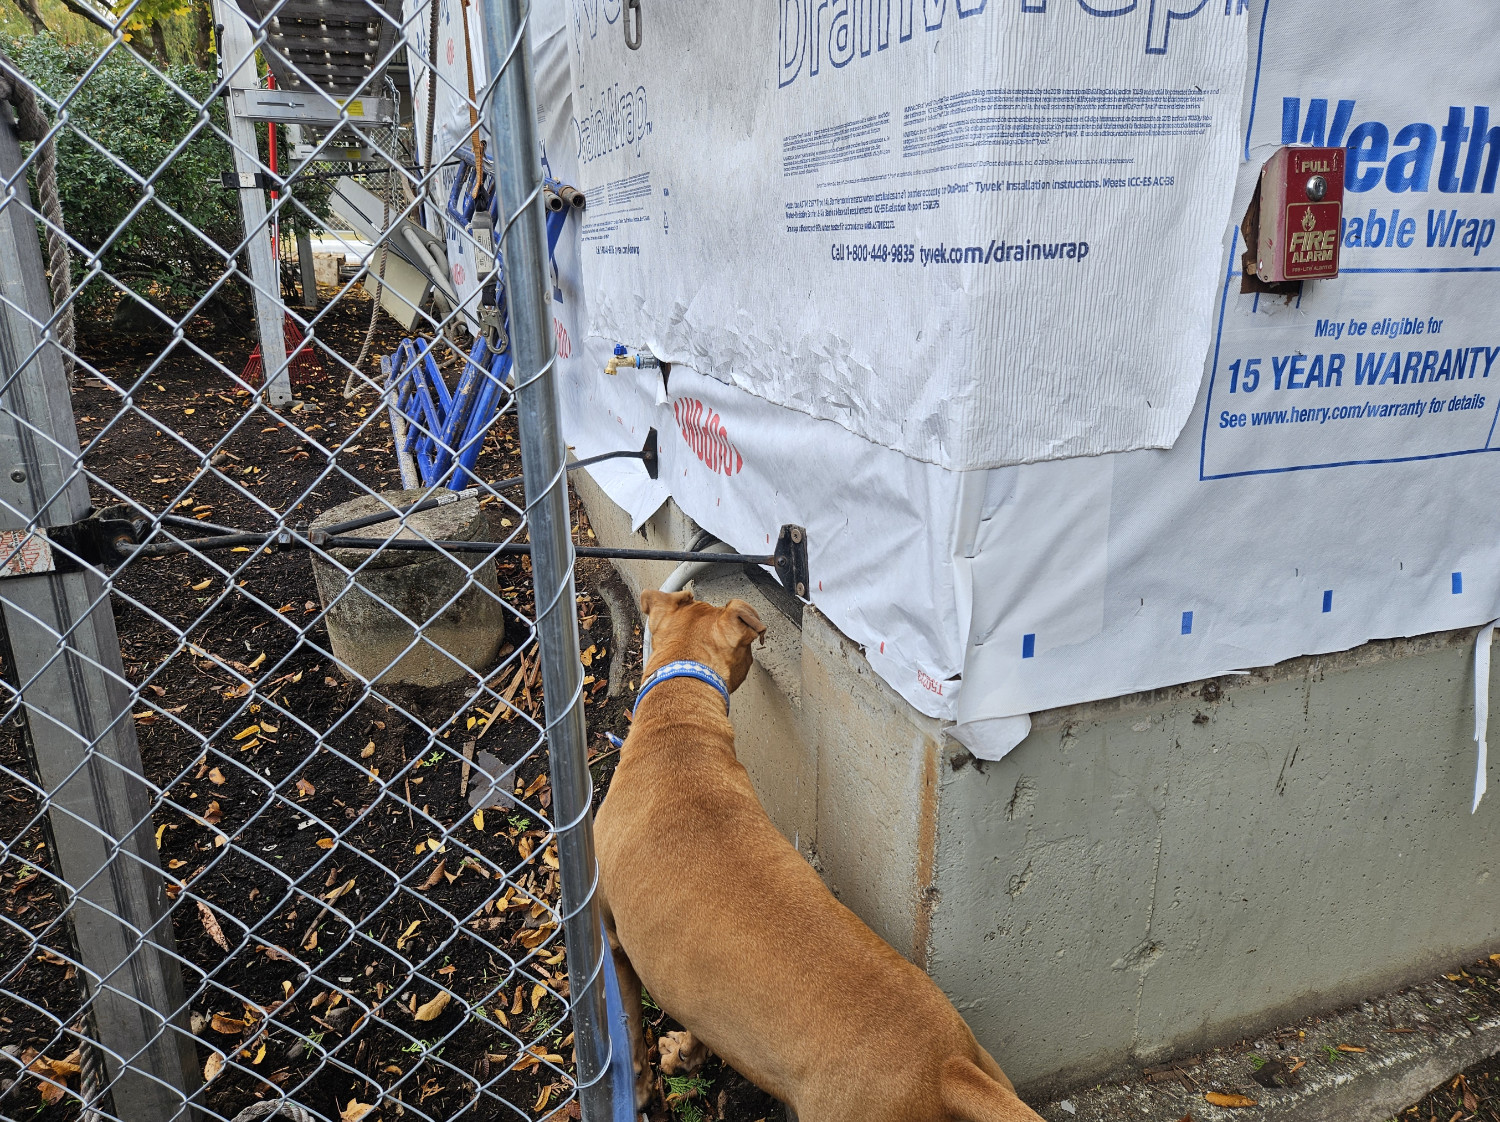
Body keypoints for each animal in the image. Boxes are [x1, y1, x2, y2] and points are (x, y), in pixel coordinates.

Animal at [594, 591, 1044, 1116]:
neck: (678, 724)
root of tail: (946, 1065)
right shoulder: (702, 997)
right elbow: (703, 1028)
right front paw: (685, 1054)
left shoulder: (613, 940)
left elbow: (628, 1031)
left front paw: (640, 1090)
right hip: (991, 1068)